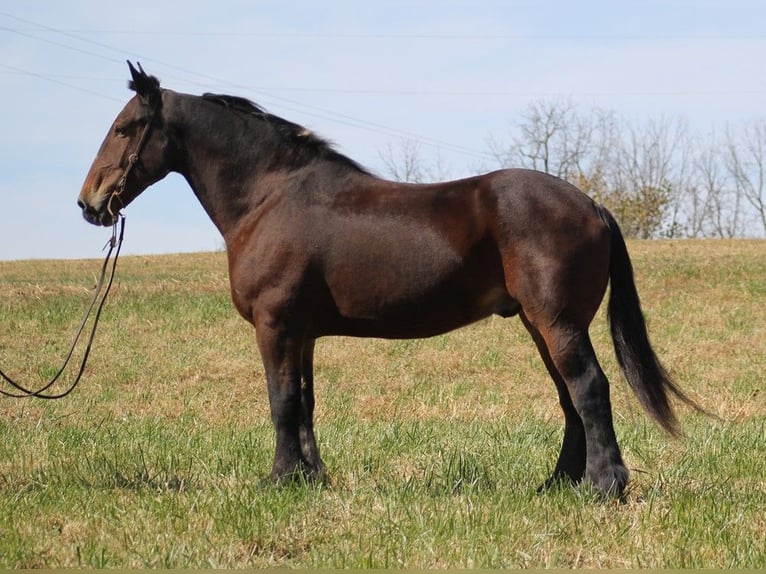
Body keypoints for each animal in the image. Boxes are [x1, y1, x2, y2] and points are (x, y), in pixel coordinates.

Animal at [76, 60, 704, 498]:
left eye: (126, 127)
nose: (89, 203)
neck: (270, 196)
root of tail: (591, 204)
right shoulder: (302, 332)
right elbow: (304, 402)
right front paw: (312, 478)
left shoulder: (275, 325)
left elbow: (281, 401)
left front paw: (279, 480)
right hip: (538, 323)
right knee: (570, 398)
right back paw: (558, 486)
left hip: (557, 322)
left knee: (589, 389)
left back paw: (605, 487)